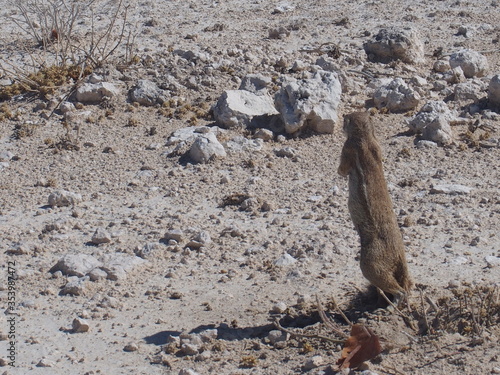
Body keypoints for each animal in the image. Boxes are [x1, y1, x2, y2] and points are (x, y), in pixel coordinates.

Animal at [338, 111, 412, 306]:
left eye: (346, 119)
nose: (343, 115)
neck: (365, 136)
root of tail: (400, 255)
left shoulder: (347, 148)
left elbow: (342, 169)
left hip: (371, 264)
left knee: (400, 290)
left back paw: (392, 305)